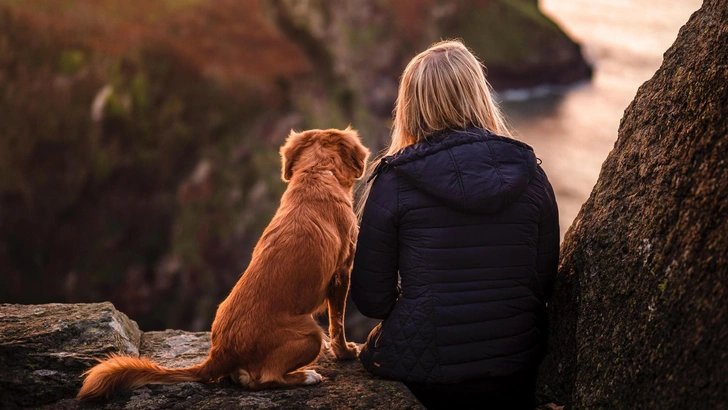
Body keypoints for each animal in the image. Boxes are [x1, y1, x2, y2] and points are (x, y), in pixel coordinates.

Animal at [78, 126, 370, 398]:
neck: (317, 174)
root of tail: (220, 353)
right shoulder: (343, 272)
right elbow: (338, 322)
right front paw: (346, 353)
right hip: (310, 333)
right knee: (264, 378)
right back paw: (306, 376)